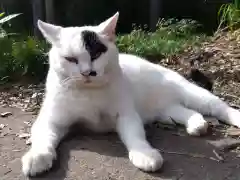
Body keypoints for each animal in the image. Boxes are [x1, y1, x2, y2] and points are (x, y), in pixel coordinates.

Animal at [21, 11, 239, 176]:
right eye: (71, 59)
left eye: (96, 54)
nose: (87, 73)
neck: (89, 94)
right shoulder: (51, 120)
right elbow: (43, 138)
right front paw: (37, 156)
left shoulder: (126, 115)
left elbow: (135, 136)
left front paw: (145, 154)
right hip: (166, 112)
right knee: (188, 112)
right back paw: (197, 125)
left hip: (192, 94)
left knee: (220, 107)